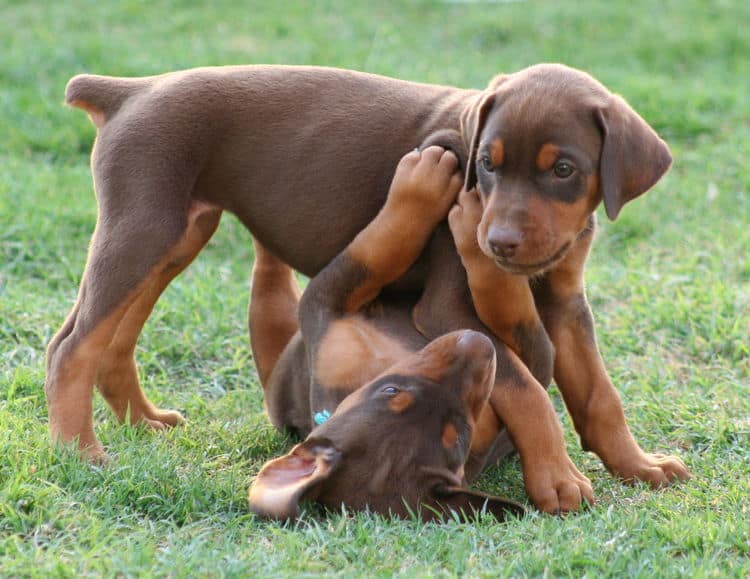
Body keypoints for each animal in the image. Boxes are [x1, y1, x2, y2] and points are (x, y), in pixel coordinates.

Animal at [248, 146, 528, 520]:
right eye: (391, 391)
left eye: (460, 435)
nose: (477, 342)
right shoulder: (326, 309)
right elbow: (378, 246)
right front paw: (425, 185)